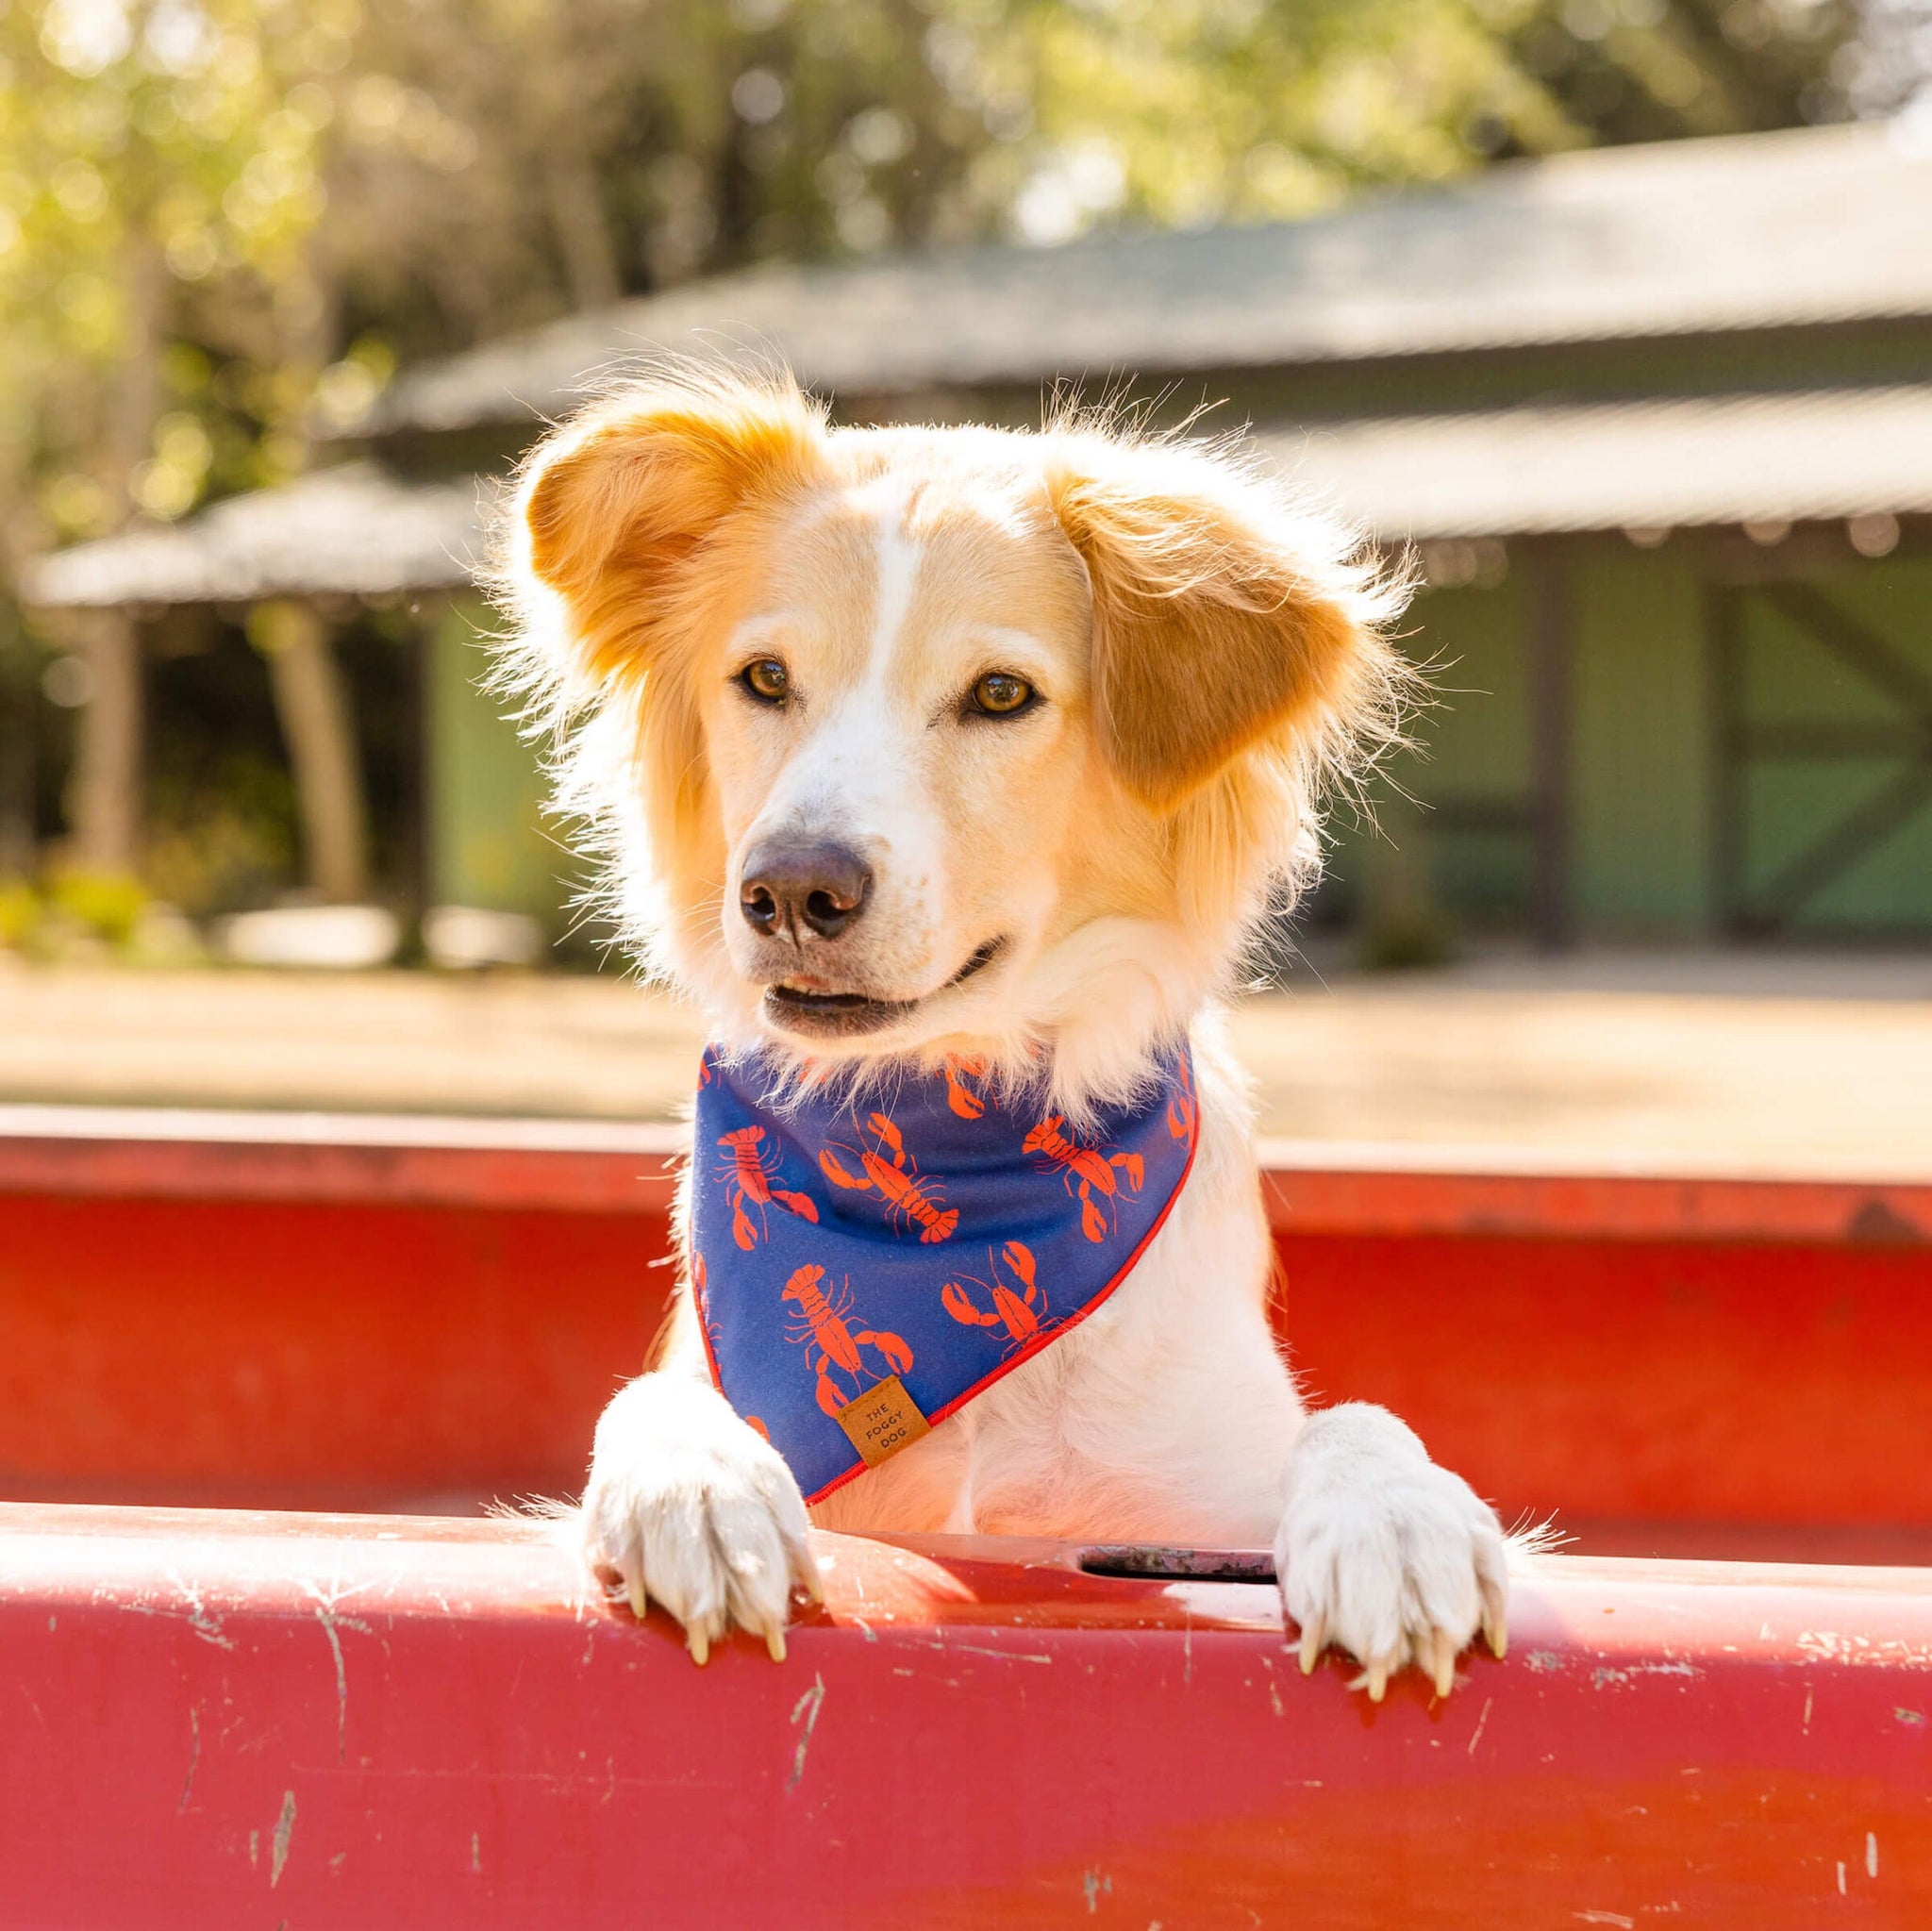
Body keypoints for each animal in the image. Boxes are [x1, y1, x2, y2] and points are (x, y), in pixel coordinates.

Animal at [506, 362, 1514, 1691]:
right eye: (764, 679)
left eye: (999, 695)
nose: (788, 890)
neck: (948, 1145)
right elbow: (647, 1400)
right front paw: (697, 1486)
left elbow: (1353, 1419)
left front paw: (1396, 1518)